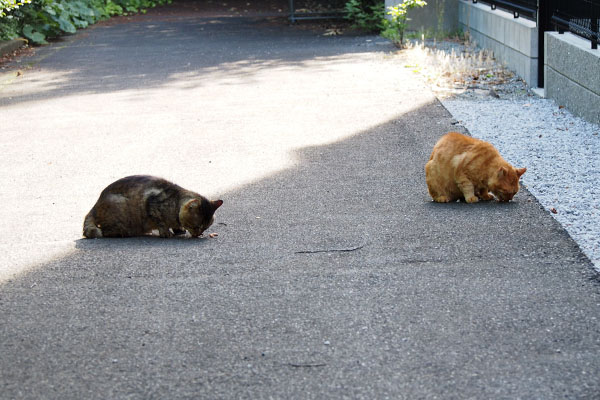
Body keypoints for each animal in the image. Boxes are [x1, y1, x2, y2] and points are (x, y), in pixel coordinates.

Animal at [82, 175, 223, 238]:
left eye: (205, 227)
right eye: (197, 226)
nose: (199, 234)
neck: (175, 201)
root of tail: (95, 205)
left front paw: (178, 229)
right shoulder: (152, 204)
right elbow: (161, 222)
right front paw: (166, 232)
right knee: (106, 231)